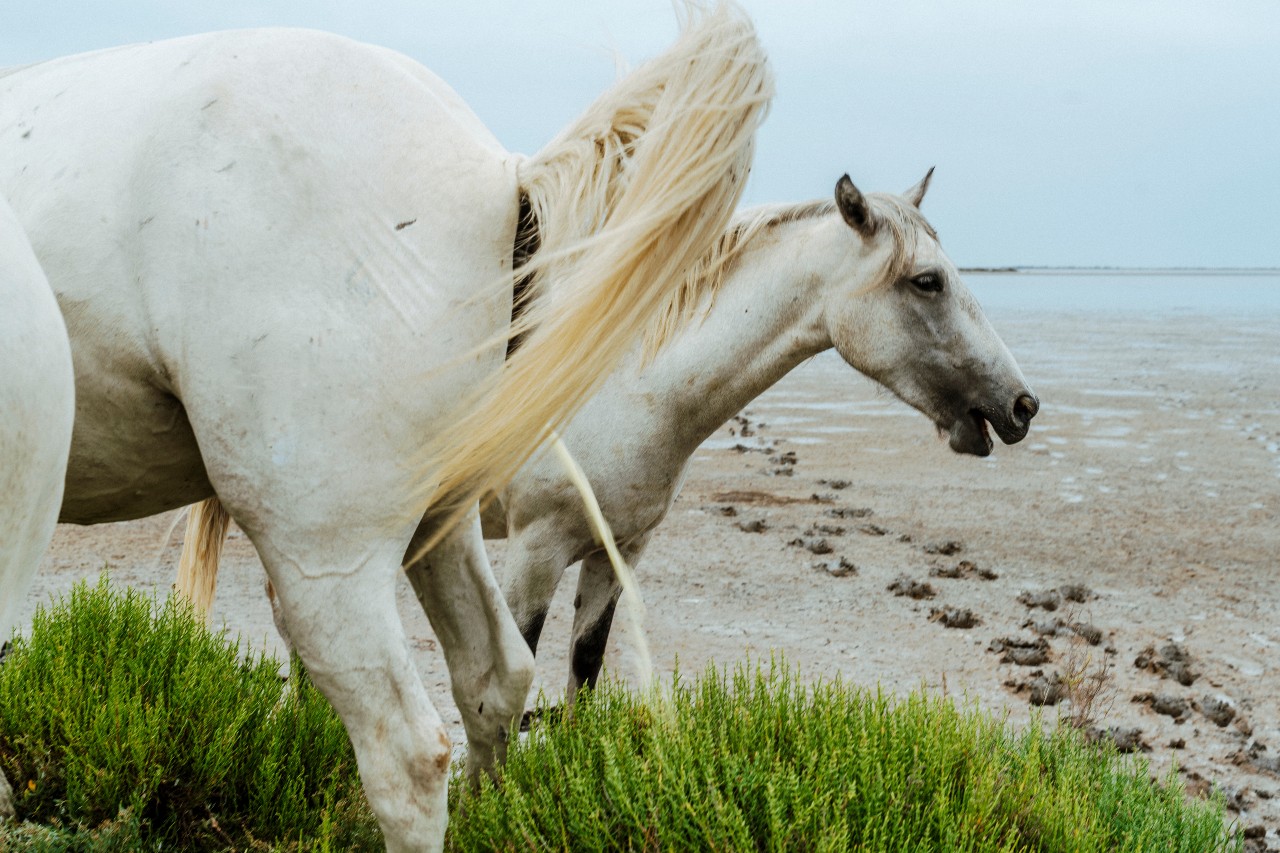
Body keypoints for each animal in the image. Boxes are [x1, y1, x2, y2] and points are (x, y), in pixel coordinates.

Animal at [469, 170, 1039, 703]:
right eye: (927, 281)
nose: (1022, 405)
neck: (617, 386)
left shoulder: (618, 552)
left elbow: (585, 668)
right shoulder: (534, 553)